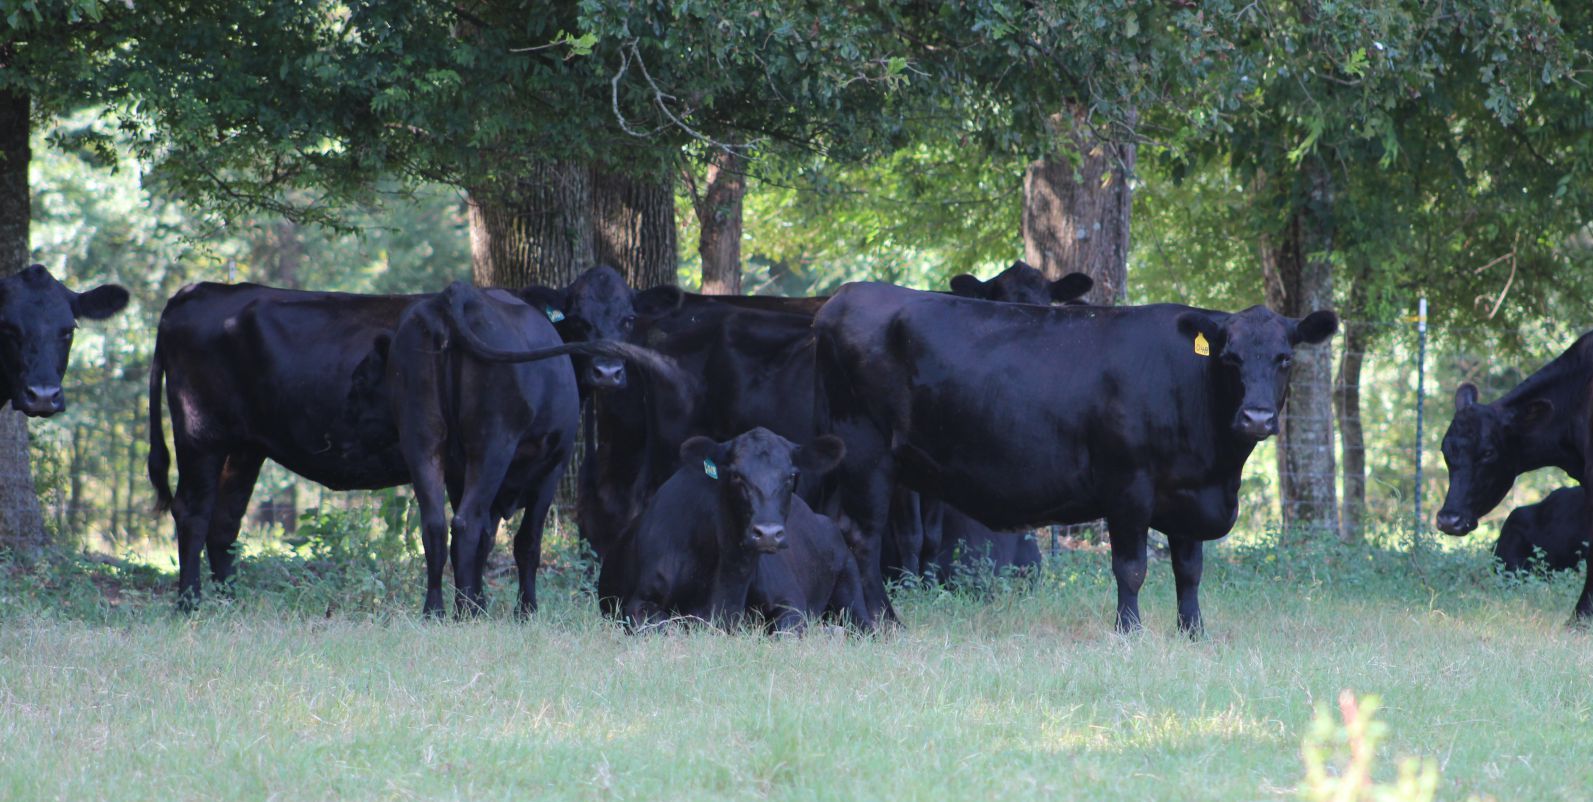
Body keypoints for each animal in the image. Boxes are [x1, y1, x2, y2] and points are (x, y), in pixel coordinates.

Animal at [814, 283, 1337, 632]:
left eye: (1285, 358)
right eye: (1230, 357)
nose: (1256, 417)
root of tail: (843, 297)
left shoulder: (1189, 492)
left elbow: (1189, 571)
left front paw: (1194, 633)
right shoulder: (1128, 483)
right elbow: (1131, 567)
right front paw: (1129, 632)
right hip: (867, 452)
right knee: (862, 537)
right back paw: (880, 623)